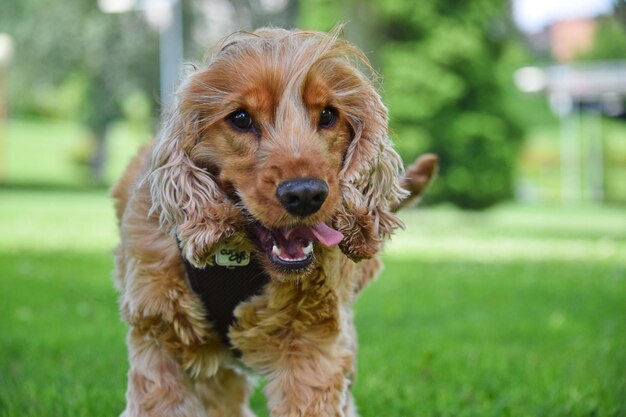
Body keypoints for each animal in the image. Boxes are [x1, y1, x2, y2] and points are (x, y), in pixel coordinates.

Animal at [111, 26, 434, 416]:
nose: (306, 194)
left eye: (328, 115)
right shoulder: (157, 338)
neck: (238, 258)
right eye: (240, 118)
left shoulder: (313, 346)